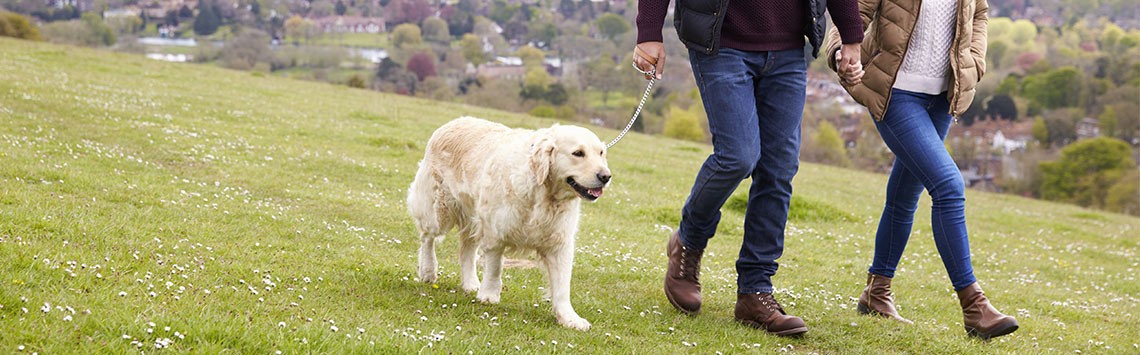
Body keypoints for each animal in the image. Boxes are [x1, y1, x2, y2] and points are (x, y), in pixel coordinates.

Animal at [405, 116, 611, 331]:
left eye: (601, 153)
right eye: (578, 153)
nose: (606, 176)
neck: (543, 194)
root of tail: (454, 122)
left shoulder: (560, 243)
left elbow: (562, 285)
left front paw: (570, 318)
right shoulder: (495, 232)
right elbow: (495, 267)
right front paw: (489, 295)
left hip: (473, 217)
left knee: (466, 250)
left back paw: (470, 283)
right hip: (438, 210)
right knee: (427, 238)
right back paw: (428, 271)